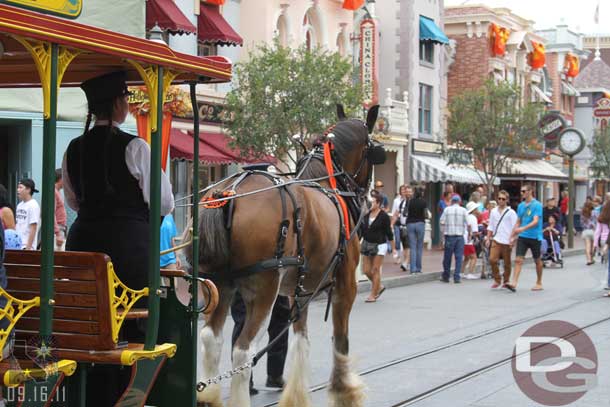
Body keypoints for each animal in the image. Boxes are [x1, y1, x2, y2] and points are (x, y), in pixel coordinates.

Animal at [188, 106, 382, 407]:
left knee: (212, 339)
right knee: (243, 351)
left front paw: (296, 395)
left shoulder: (300, 291)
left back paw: (208, 396)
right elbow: (341, 341)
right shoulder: (345, 285)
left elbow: (302, 339)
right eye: (372, 151)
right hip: (264, 288)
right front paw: (345, 392)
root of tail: (225, 194)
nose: (368, 197)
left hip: (219, 284)